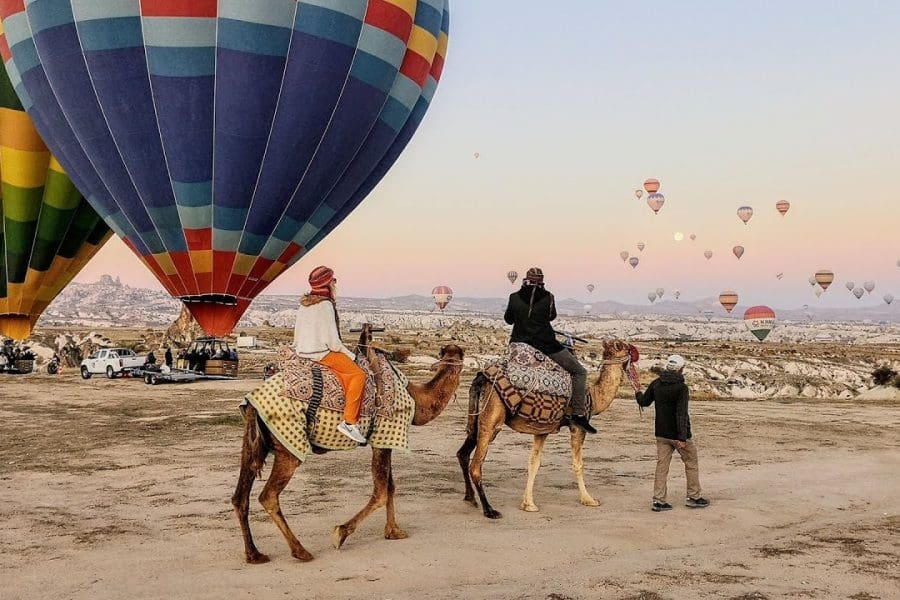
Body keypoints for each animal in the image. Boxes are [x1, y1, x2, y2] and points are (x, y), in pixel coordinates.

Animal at [232, 324, 464, 564]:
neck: (416, 398)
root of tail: (252, 402)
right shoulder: (385, 435)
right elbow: (381, 492)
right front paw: (340, 533)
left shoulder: (385, 440)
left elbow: (390, 487)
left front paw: (393, 531)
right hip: (288, 445)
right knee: (268, 496)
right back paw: (300, 551)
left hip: (253, 443)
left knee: (240, 496)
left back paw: (254, 554)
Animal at [458, 340, 632, 516]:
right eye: (626, 348)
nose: (633, 353)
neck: (594, 395)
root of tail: (481, 378)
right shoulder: (577, 426)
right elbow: (578, 464)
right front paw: (589, 500)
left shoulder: (542, 429)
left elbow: (534, 463)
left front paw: (528, 504)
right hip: (492, 419)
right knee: (476, 465)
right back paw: (489, 510)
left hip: (477, 419)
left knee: (463, 453)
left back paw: (470, 498)